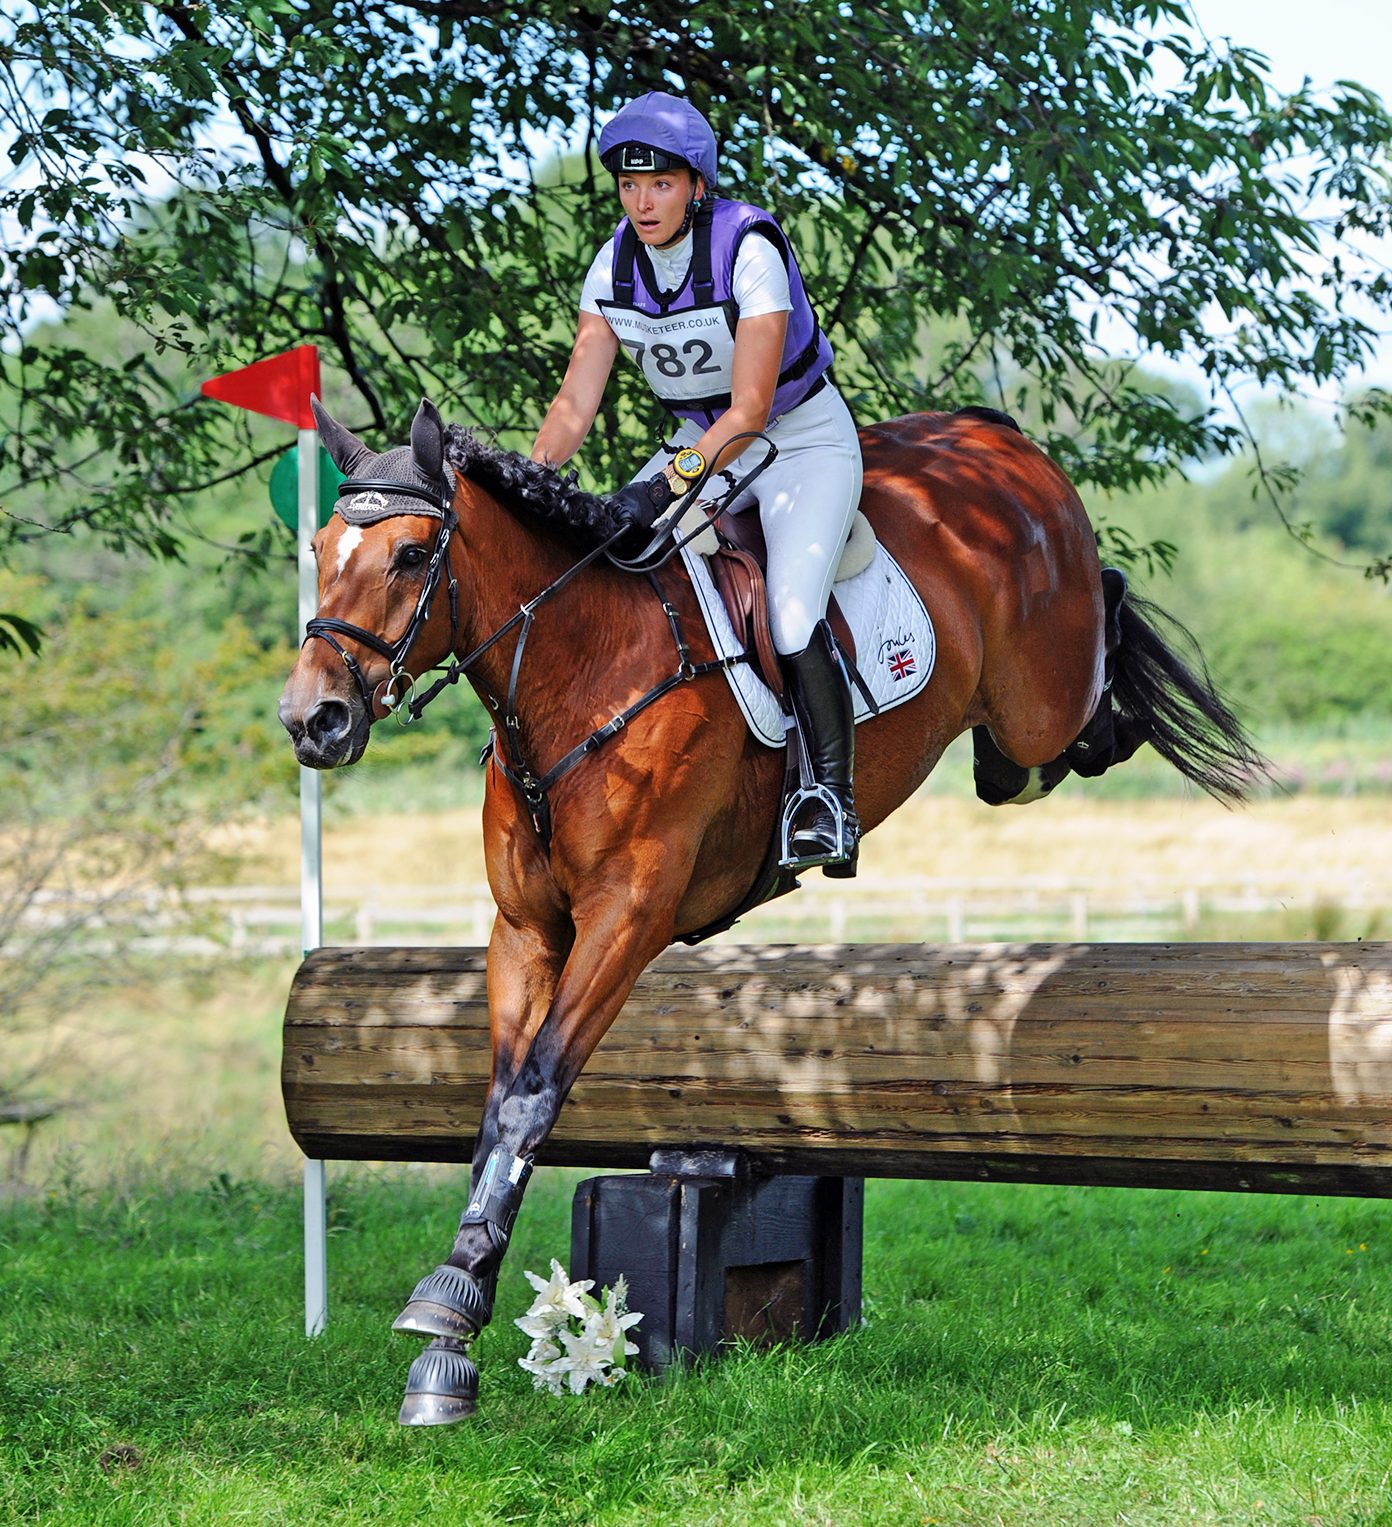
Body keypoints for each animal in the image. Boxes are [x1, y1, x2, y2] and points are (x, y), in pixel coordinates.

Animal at [278, 397, 1262, 1424]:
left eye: (410, 555)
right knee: (1024, 757)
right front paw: (454, 1330)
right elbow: (498, 1103)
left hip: (1041, 698)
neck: (578, 666)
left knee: (1090, 677)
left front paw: (448, 1305)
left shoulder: (627, 919)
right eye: (318, 547)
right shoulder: (525, 931)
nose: (313, 720)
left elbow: (534, 1094)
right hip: (1011, 731)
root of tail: (994, 434)